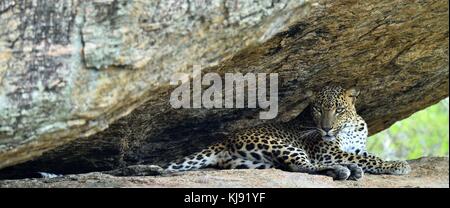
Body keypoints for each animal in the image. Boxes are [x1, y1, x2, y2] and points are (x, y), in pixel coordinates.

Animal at [162, 85, 412, 180]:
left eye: (338, 110)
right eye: (318, 110)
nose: (326, 128)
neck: (349, 126)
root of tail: (224, 140)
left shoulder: (356, 147)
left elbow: (366, 155)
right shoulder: (327, 152)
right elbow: (367, 158)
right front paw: (397, 165)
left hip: (253, 163)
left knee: (289, 167)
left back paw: (349, 170)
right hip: (281, 145)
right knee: (302, 166)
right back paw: (346, 170)